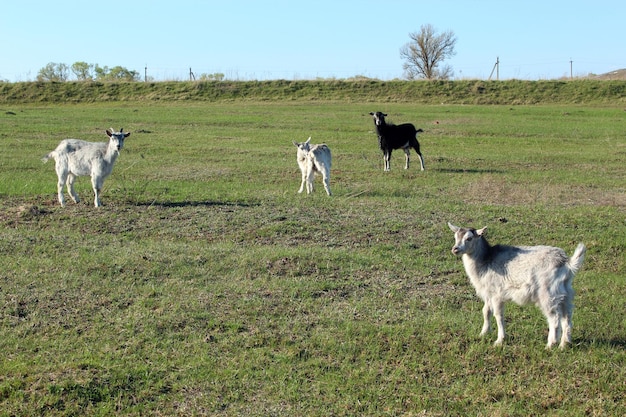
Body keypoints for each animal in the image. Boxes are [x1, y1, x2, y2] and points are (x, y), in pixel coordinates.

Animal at [446, 221, 584, 348]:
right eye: (455, 237)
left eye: (469, 238)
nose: (455, 249)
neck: (486, 260)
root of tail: (567, 263)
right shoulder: (488, 293)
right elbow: (486, 311)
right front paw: (483, 333)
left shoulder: (497, 294)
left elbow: (498, 315)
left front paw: (499, 340)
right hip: (565, 292)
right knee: (567, 316)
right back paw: (564, 344)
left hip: (547, 293)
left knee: (554, 318)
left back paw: (550, 345)